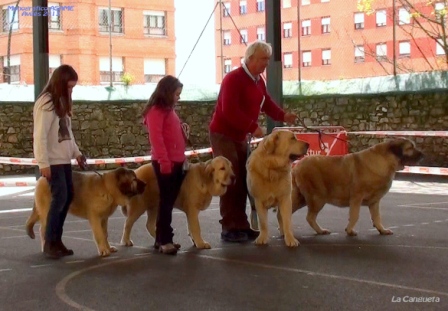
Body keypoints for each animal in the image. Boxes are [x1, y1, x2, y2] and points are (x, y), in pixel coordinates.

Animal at [288, 138, 426, 238]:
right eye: (410, 148)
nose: (422, 154)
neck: (385, 161)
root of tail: (297, 166)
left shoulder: (374, 201)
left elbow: (377, 217)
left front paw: (381, 229)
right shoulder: (356, 197)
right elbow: (355, 215)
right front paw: (350, 230)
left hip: (302, 198)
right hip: (317, 198)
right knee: (310, 217)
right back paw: (320, 230)